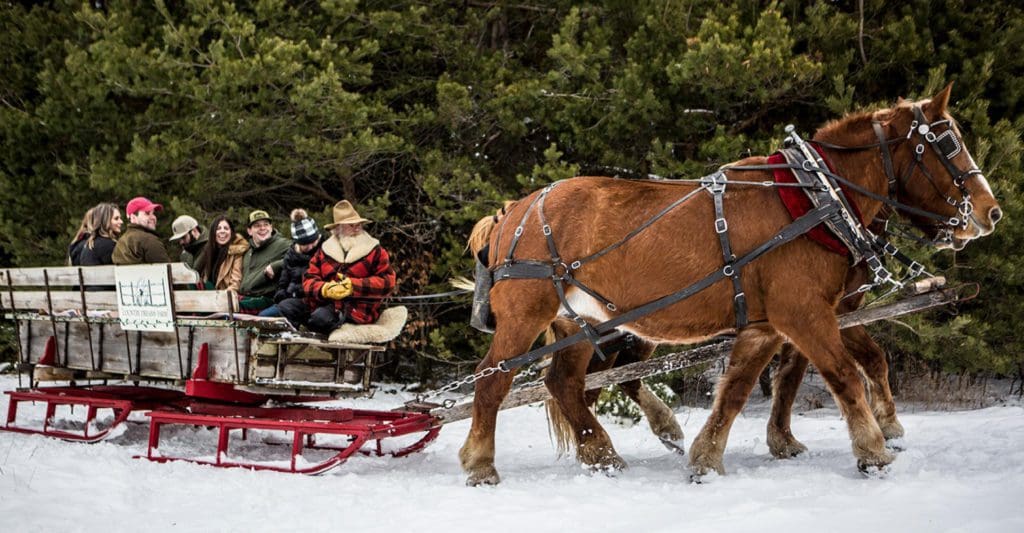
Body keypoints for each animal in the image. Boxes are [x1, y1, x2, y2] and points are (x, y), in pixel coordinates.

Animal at [464, 85, 999, 484]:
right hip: (527, 316)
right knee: (493, 379)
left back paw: (603, 455)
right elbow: (844, 375)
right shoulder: (805, 312)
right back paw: (481, 464)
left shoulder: (768, 323)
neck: (816, 201)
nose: (990, 212)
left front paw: (707, 458)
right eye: (949, 144)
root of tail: (511, 212)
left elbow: (740, 389)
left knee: (565, 384)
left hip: (580, 321)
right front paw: (874, 450)